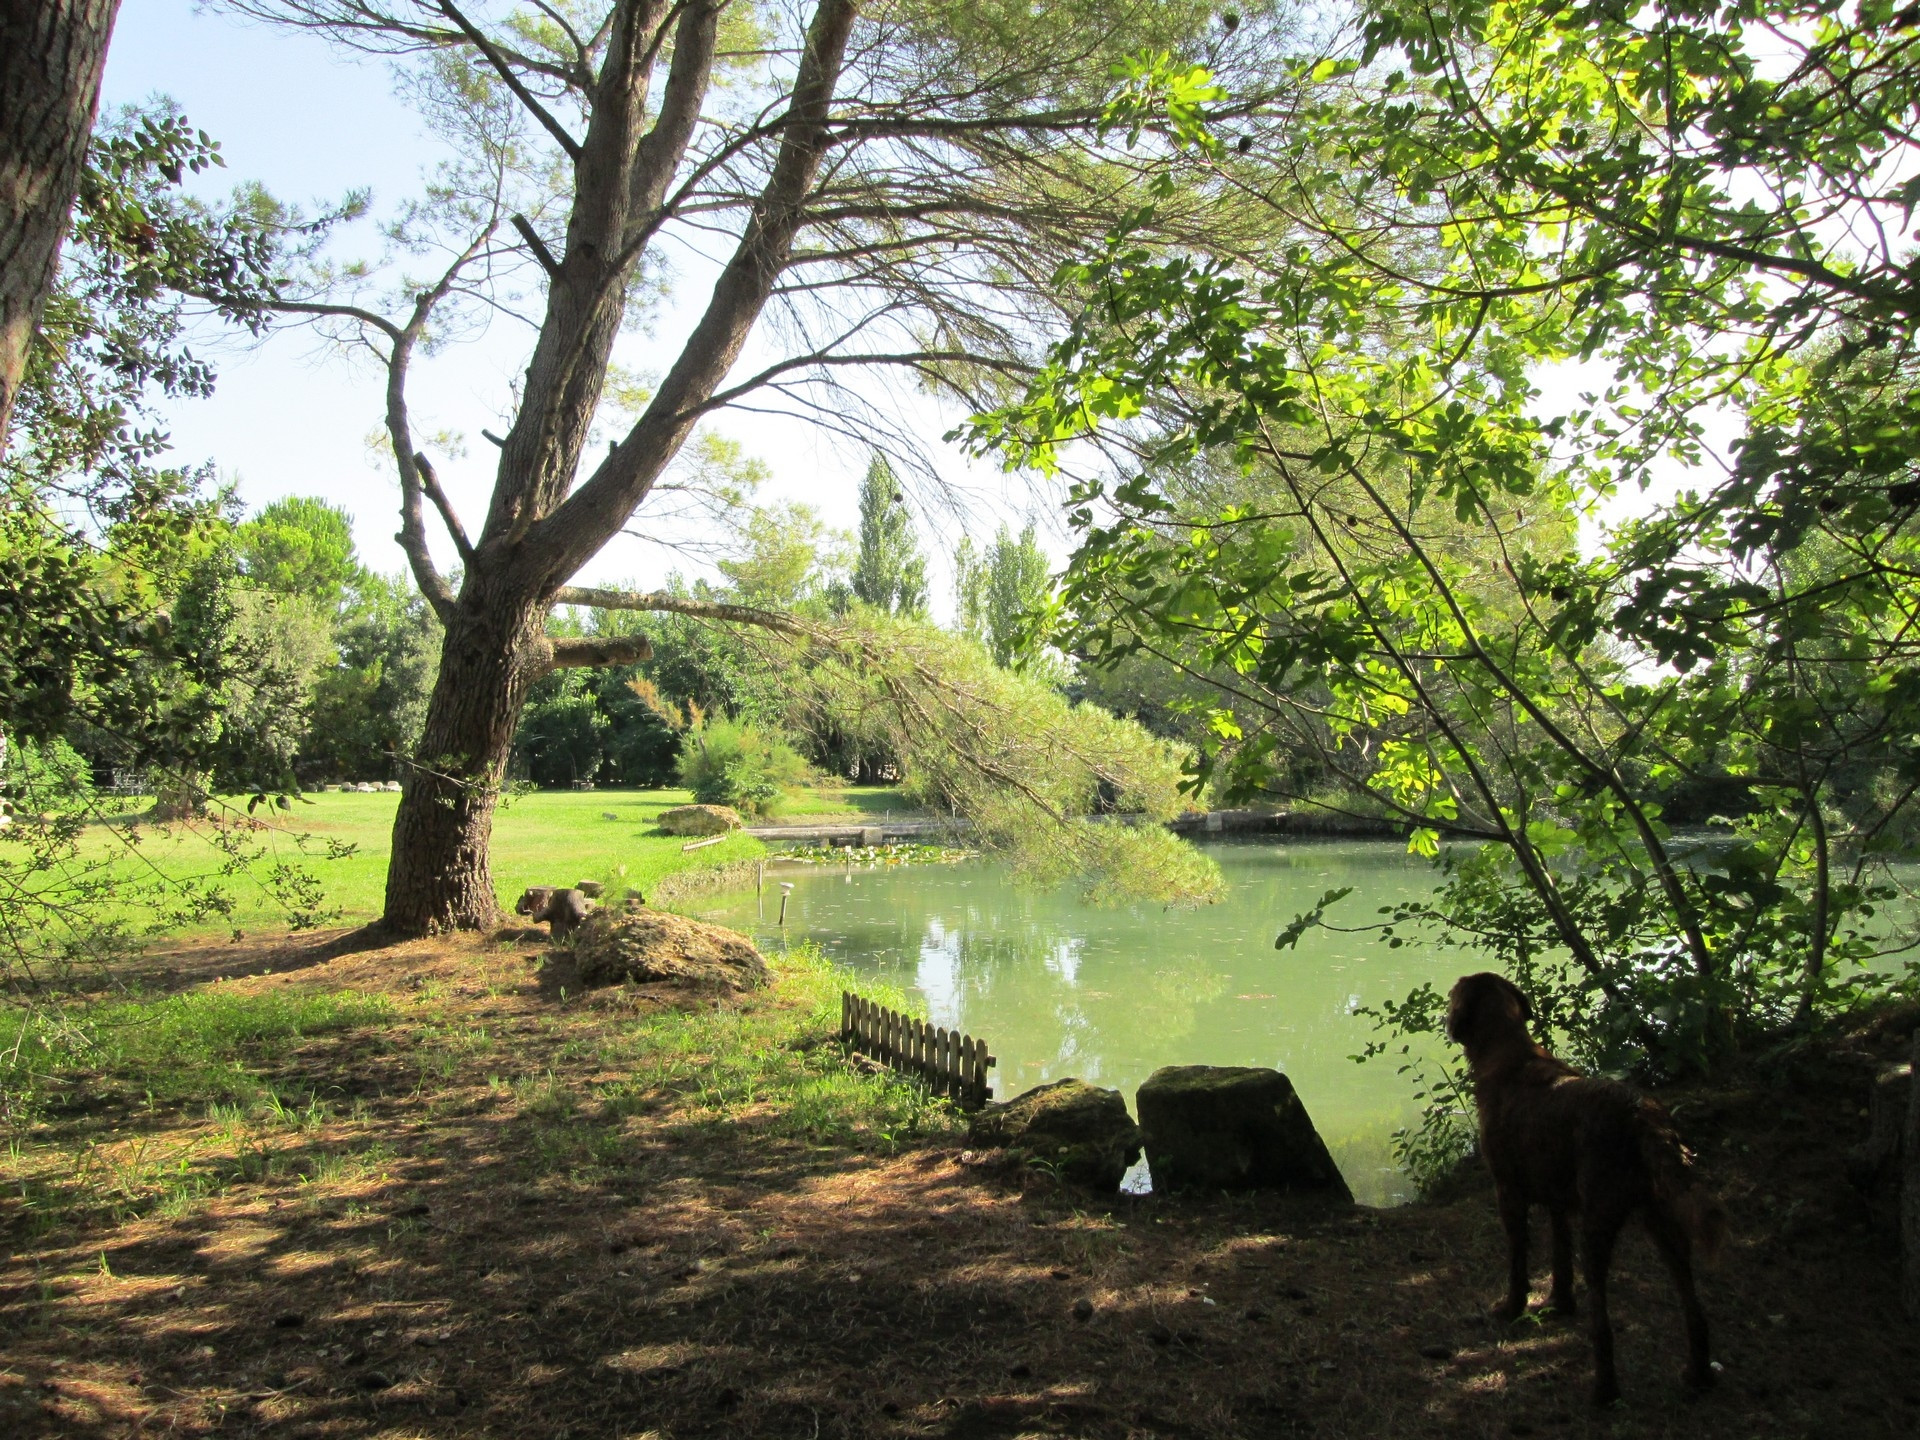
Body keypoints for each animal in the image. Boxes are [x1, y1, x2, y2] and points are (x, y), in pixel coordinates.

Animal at [1451, 971, 1728, 1413]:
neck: (1509, 1052)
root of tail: (1642, 1114)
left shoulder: (1508, 1191)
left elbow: (1518, 1259)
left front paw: (1512, 1307)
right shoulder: (1559, 1201)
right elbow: (1560, 1260)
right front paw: (1560, 1304)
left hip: (1599, 1226)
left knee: (1603, 1321)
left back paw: (1604, 1391)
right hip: (1663, 1222)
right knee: (1692, 1306)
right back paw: (1698, 1374)